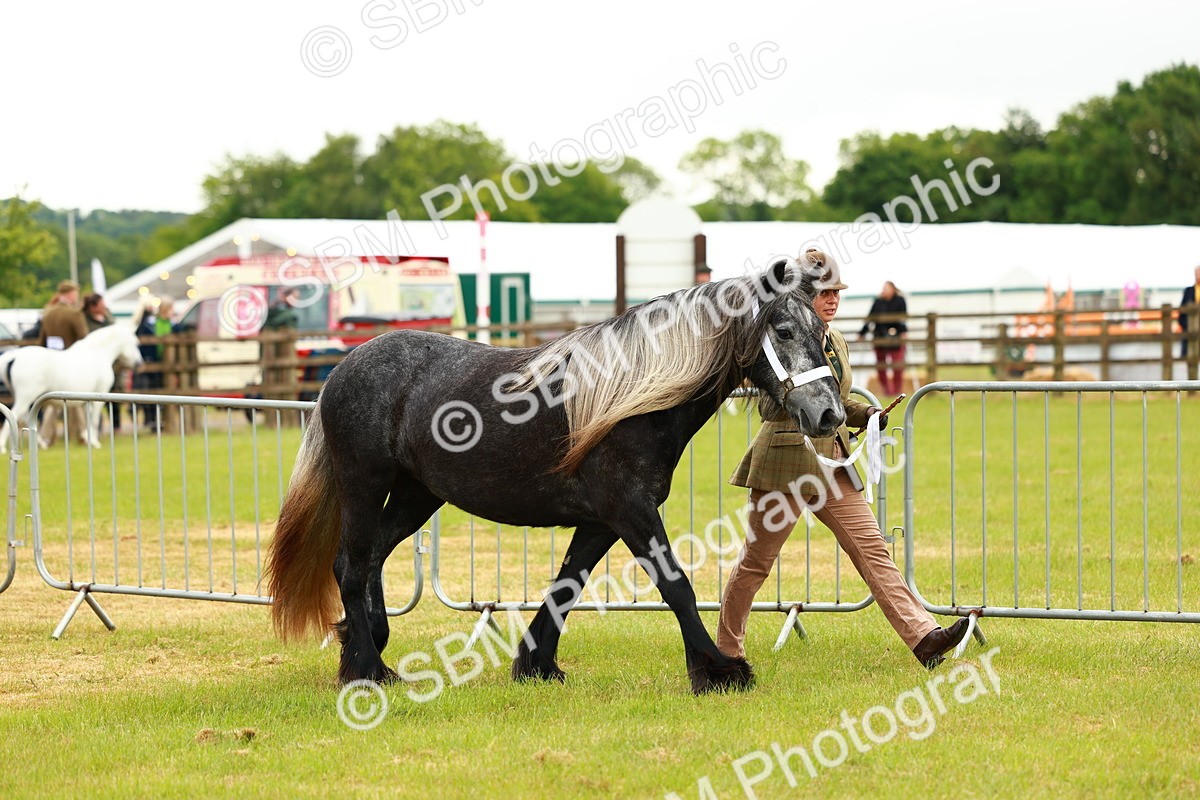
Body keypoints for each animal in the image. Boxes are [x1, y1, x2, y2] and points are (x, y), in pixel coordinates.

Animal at [0, 323, 144, 452]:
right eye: (136, 342)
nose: (139, 363)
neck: (98, 353)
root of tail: (13, 356)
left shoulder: (86, 400)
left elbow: (87, 420)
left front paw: (87, 439)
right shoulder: (99, 396)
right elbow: (94, 420)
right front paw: (94, 442)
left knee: (24, 417)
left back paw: (41, 444)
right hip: (26, 396)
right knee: (14, 416)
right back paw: (3, 447)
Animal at [266, 253, 846, 694]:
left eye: (822, 332)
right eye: (784, 330)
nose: (830, 415)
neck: (631, 401)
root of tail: (342, 369)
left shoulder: (601, 521)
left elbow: (567, 585)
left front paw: (536, 664)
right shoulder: (630, 512)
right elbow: (675, 584)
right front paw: (718, 670)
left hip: (416, 496)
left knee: (373, 559)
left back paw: (366, 652)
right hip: (365, 486)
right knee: (350, 566)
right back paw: (366, 669)